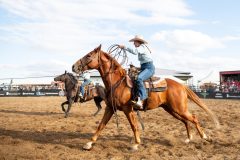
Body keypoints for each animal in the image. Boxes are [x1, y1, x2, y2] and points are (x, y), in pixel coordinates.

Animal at [71, 45, 219, 151]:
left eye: (89, 55)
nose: (74, 66)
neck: (117, 82)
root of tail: (181, 85)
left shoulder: (128, 109)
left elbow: (134, 126)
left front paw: (136, 144)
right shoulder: (110, 108)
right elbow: (101, 125)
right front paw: (89, 143)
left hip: (179, 108)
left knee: (193, 118)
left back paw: (205, 137)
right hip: (171, 109)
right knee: (186, 121)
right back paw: (189, 138)